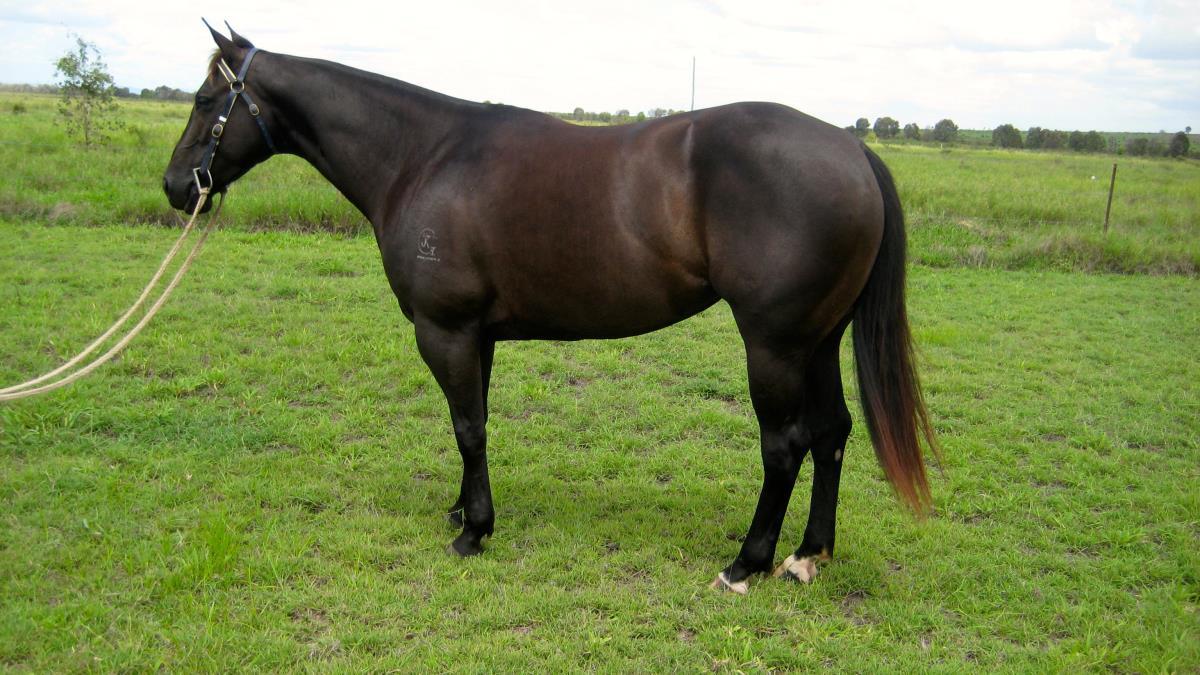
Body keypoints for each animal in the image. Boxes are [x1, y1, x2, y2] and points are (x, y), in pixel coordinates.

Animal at [163, 25, 938, 594]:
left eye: (204, 99)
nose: (175, 185)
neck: (423, 156)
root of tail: (851, 148)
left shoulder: (444, 330)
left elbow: (468, 426)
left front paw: (474, 530)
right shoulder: (478, 335)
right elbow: (471, 424)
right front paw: (462, 507)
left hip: (774, 345)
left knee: (785, 445)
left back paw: (746, 563)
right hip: (818, 341)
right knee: (832, 433)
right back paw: (809, 555)